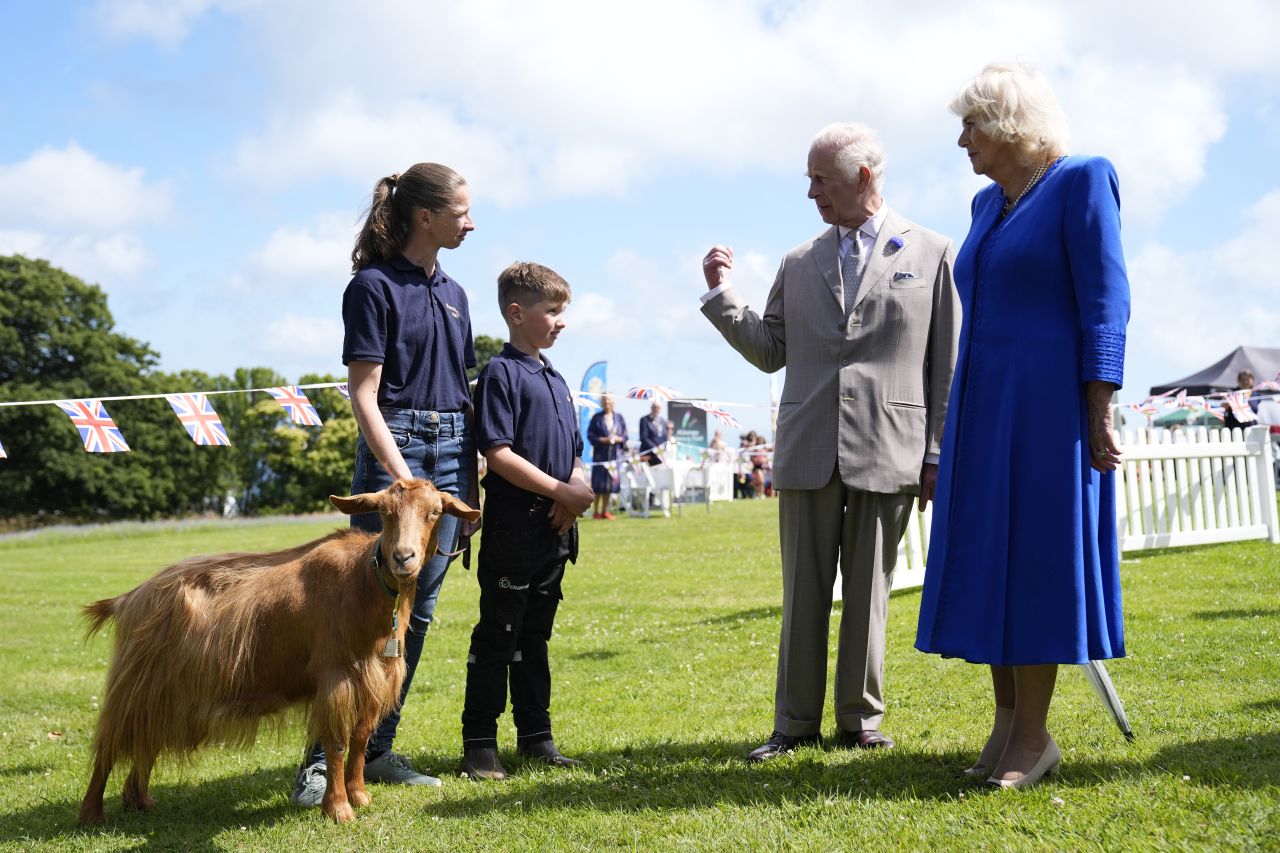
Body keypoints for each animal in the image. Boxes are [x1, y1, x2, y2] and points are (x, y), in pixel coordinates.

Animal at [78, 473, 481, 819]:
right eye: (384, 512)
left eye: (434, 512)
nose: (403, 558)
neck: (364, 583)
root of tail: (129, 598)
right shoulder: (336, 676)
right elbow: (336, 743)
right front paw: (339, 809)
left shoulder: (376, 678)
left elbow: (361, 739)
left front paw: (360, 796)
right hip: (135, 683)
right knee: (110, 743)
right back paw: (92, 814)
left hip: (165, 690)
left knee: (146, 738)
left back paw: (139, 800)